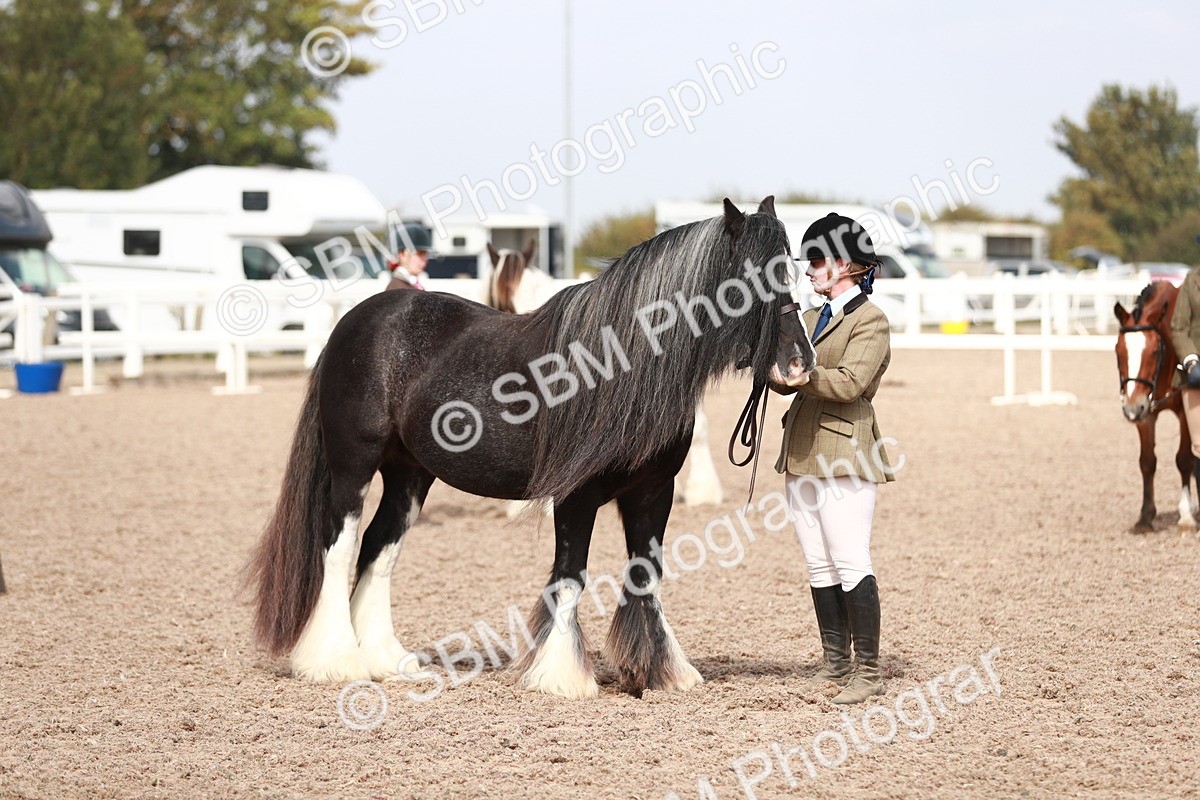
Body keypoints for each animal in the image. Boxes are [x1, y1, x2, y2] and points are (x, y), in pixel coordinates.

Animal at [1114, 281, 1196, 533]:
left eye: (1154, 351)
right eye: (1118, 351)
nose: (1131, 408)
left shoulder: (1185, 413)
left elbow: (1184, 460)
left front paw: (1186, 516)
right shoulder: (1145, 413)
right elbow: (1147, 462)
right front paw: (1145, 517)